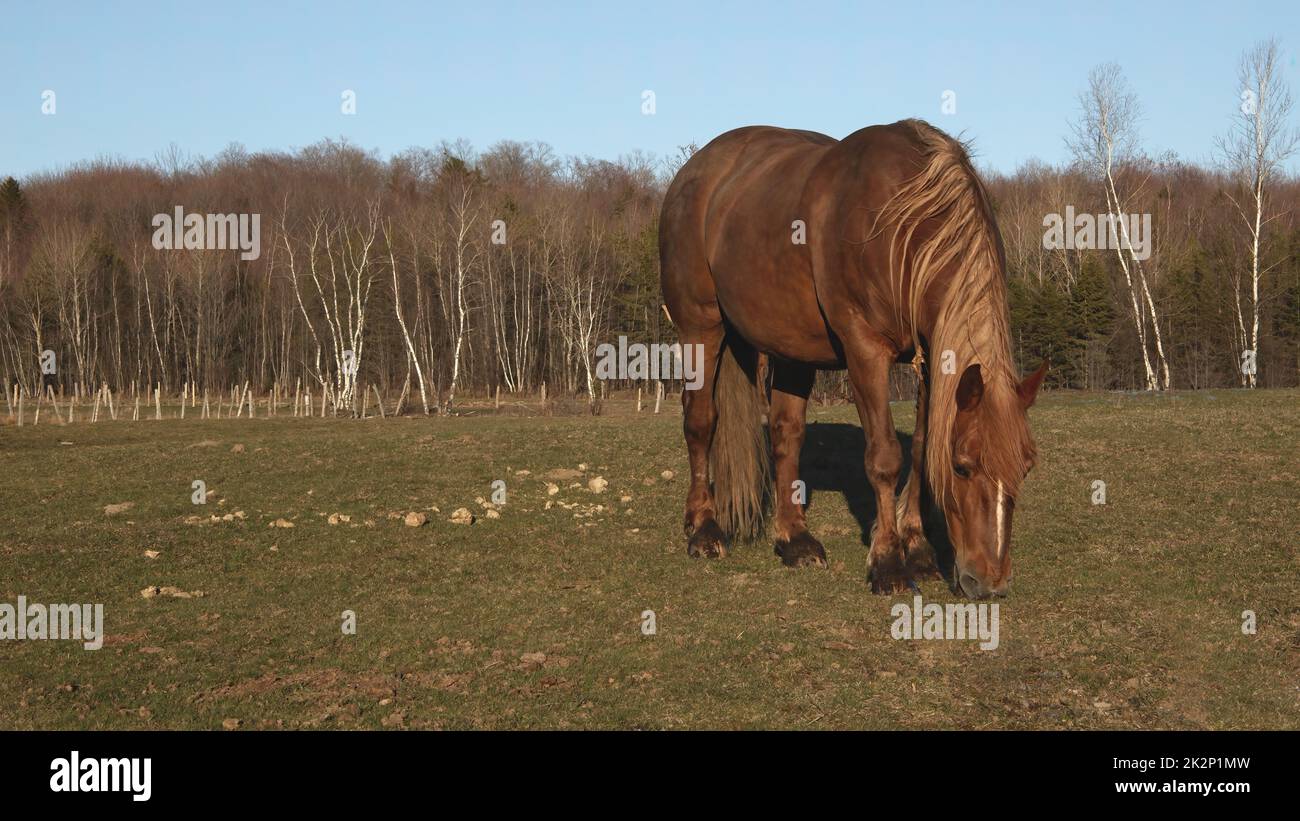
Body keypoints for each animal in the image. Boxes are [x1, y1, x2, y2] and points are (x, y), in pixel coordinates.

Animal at [660, 116, 1045, 597]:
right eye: (962, 467)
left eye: (1026, 467)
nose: (989, 583)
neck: (907, 224)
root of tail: (694, 172)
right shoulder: (865, 351)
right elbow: (884, 458)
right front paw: (888, 563)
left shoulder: (931, 361)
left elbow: (920, 450)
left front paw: (918, 550)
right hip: (701, 329)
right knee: (700, 422)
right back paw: (703, 529)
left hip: (792, 350)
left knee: (786, 436)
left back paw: (795, 540)